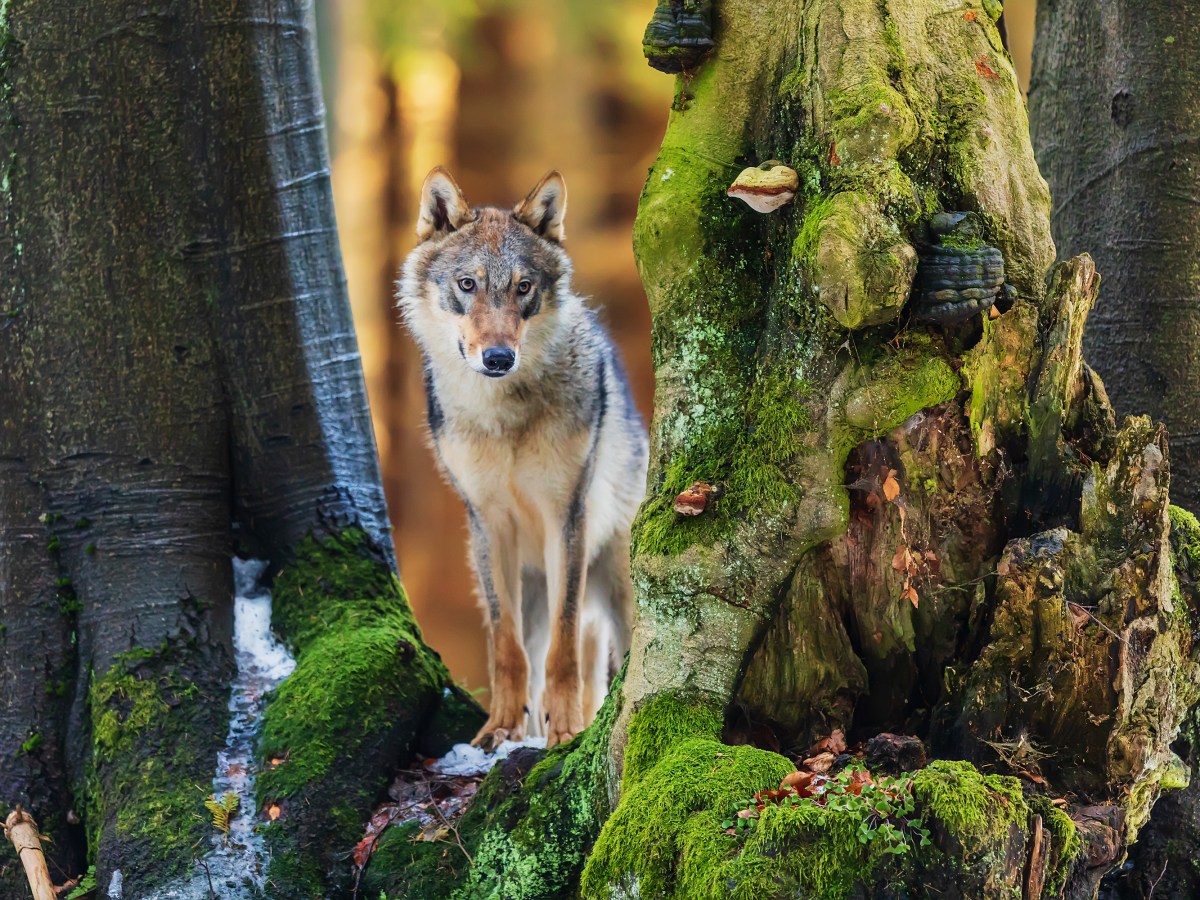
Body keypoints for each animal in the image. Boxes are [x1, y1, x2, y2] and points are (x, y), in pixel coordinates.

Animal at [398, 165, 648, 748]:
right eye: (467, 285)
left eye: (523, 287)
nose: (497, 357)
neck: (503, 418)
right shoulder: (488, 524)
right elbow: (505, 646)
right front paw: (500, 728)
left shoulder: (566, 517)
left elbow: (564, 646)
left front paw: (568, 731)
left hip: (618, 585)